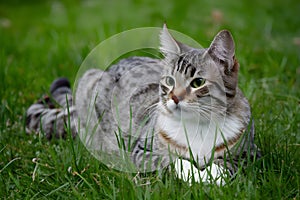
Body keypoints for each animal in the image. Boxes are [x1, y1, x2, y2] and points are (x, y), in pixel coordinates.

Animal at [25, 24, 260, 184]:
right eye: (169, 80)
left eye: (198, 82)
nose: (174, 98)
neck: (197, 127)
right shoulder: (140, 150)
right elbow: (171, 161)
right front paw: (196, 176)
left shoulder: (250, 153)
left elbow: (228, 165)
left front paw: (212, 176)